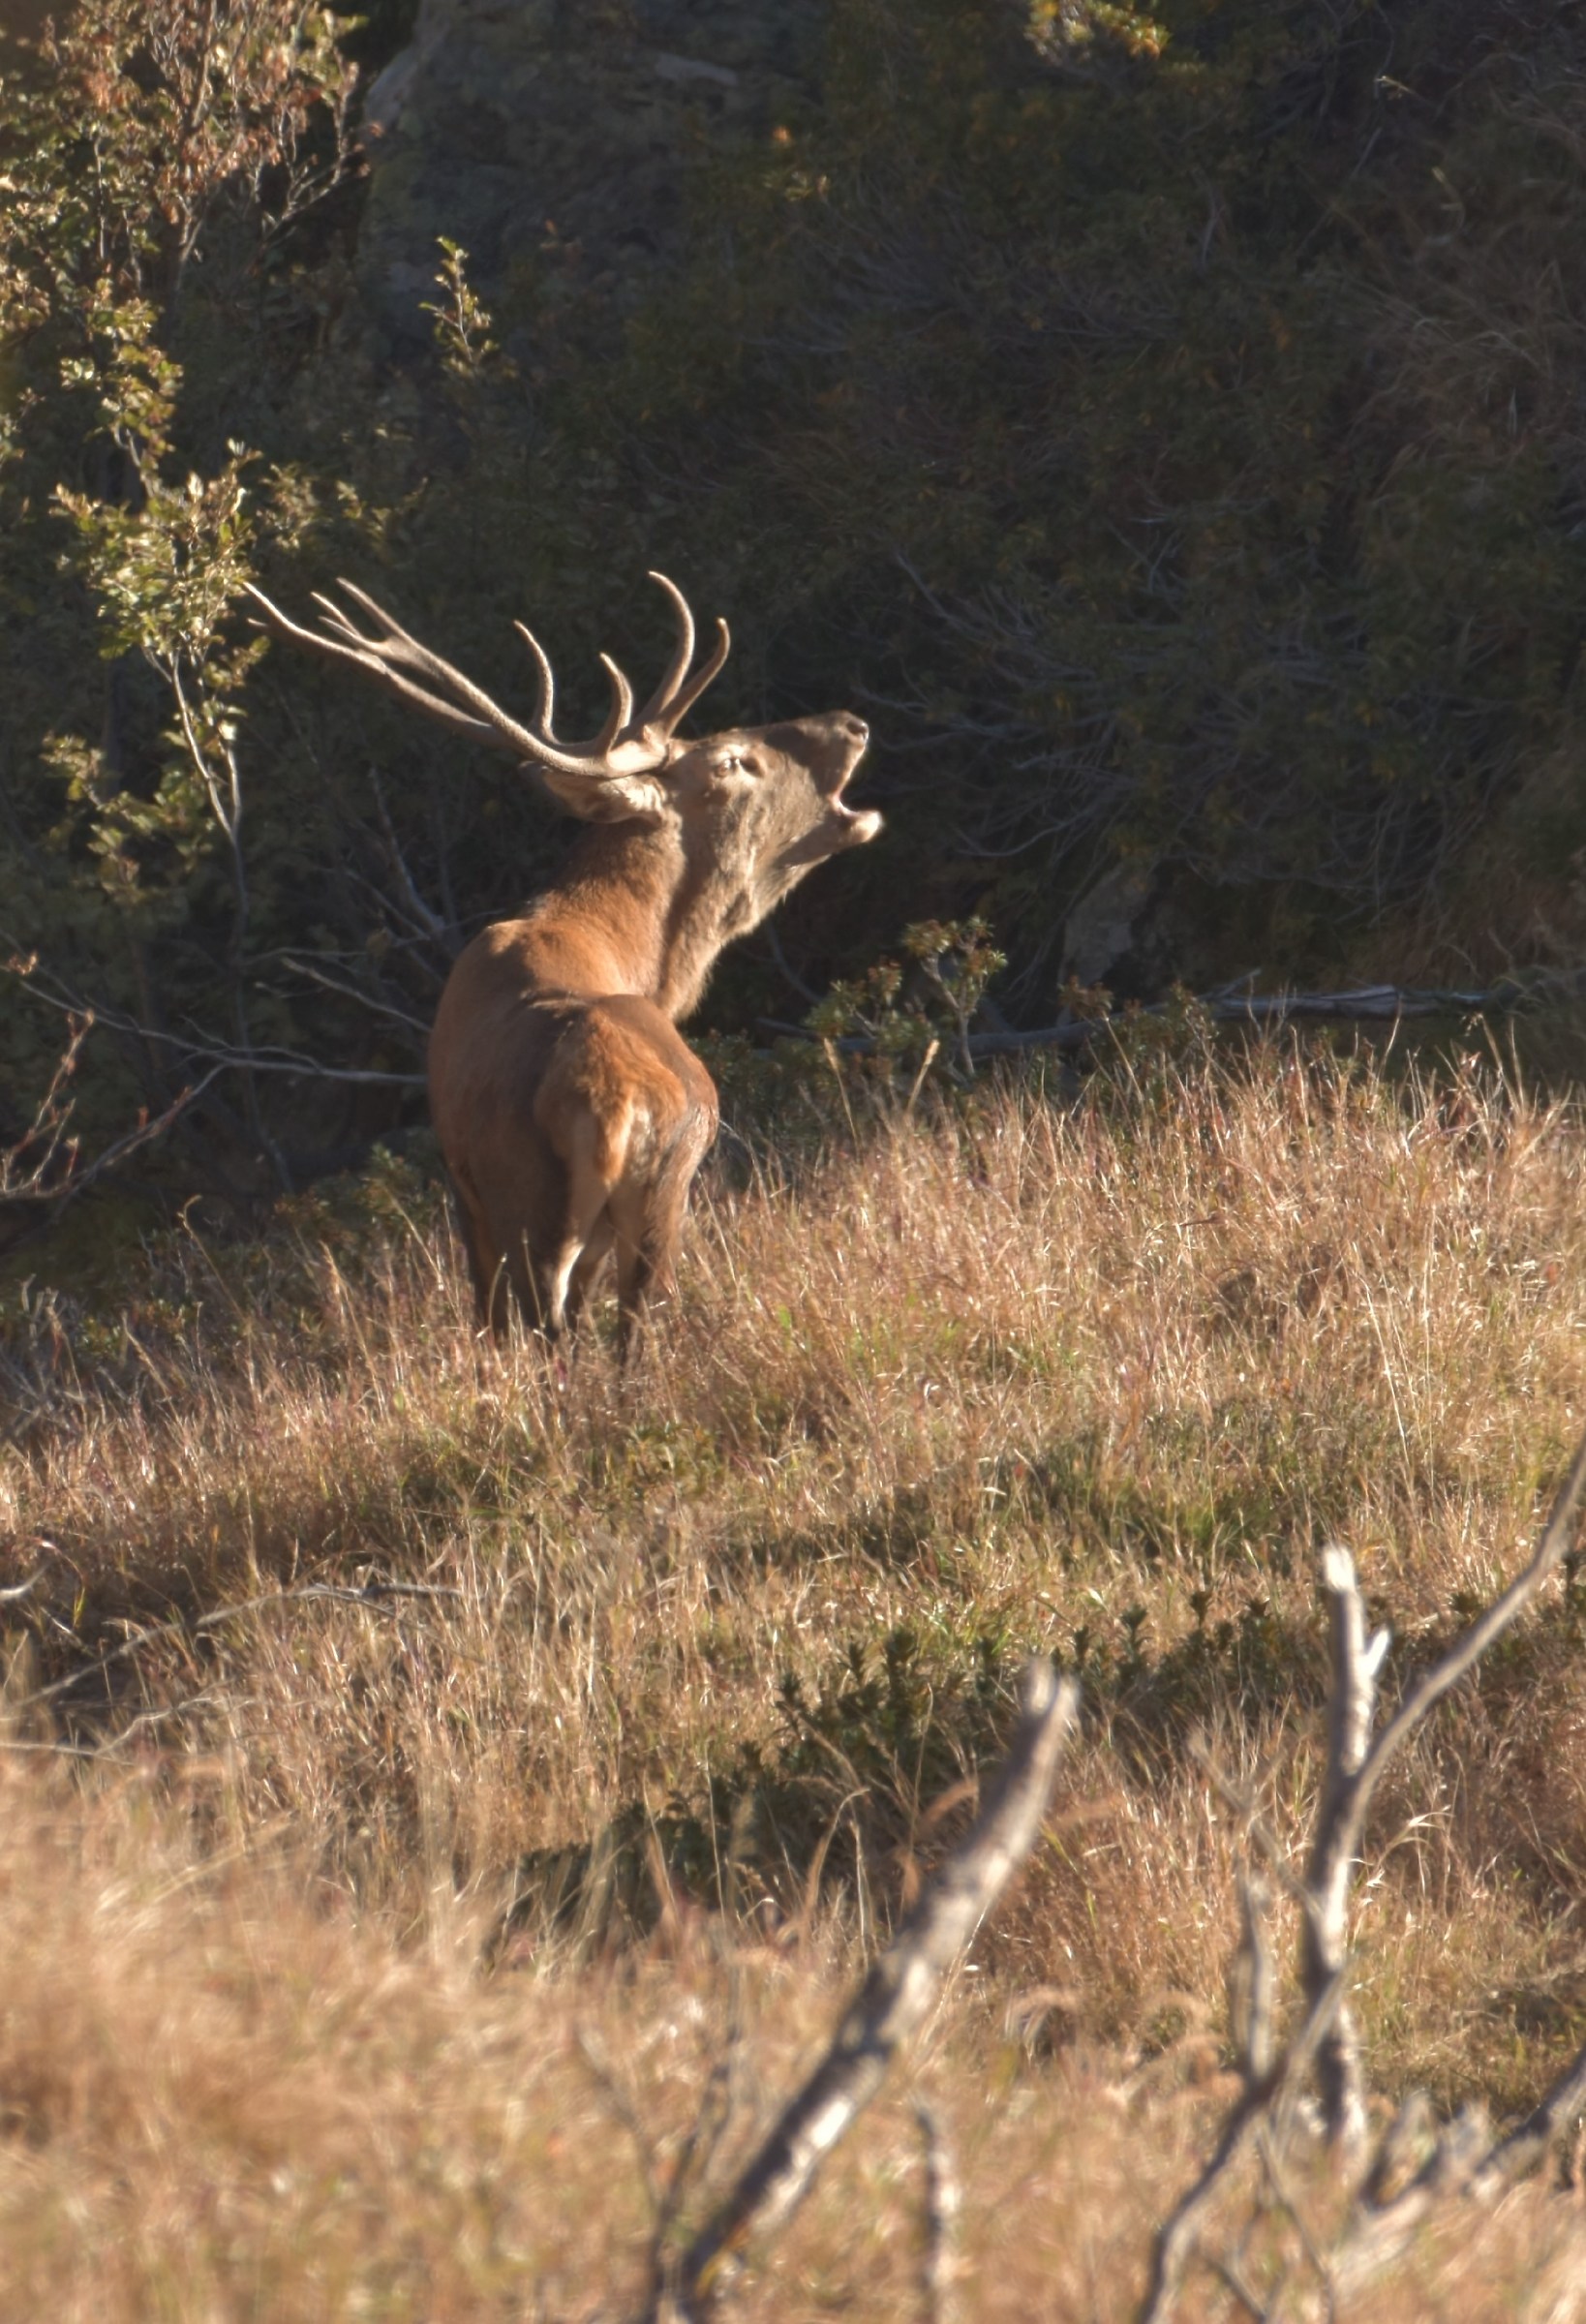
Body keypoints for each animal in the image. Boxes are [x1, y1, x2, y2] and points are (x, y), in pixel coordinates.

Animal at [246, 571, 881, 1353]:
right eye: (733, 760)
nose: (852, 723)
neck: (627, 955)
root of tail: (612, 1104)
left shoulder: (467, 1182)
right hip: (628, 1197)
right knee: (600, 1329)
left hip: (562, 1208)